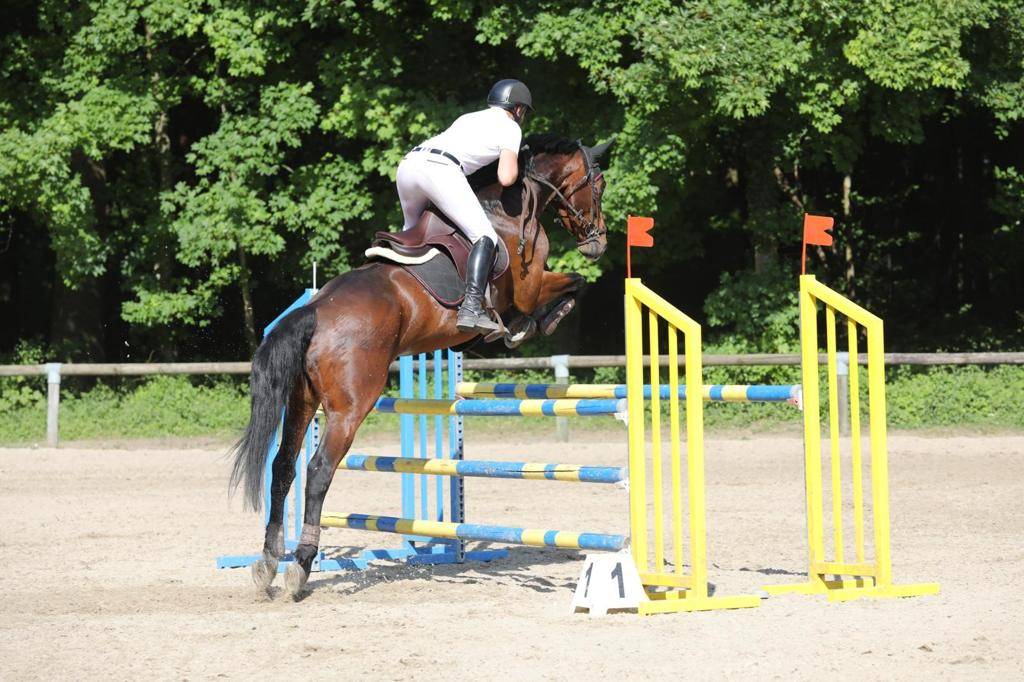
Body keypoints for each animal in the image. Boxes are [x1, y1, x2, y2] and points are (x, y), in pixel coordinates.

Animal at [230, 134, 611, 597]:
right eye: (599, 185)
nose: (599, 242)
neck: (512, 205)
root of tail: (314, 310)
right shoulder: (530, 284)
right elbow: (574, 284)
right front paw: (531, 325)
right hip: (350, 408)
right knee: (318, 470)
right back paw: (299, 566)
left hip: (303, 400)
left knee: (284, 465)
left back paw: (268, 562)